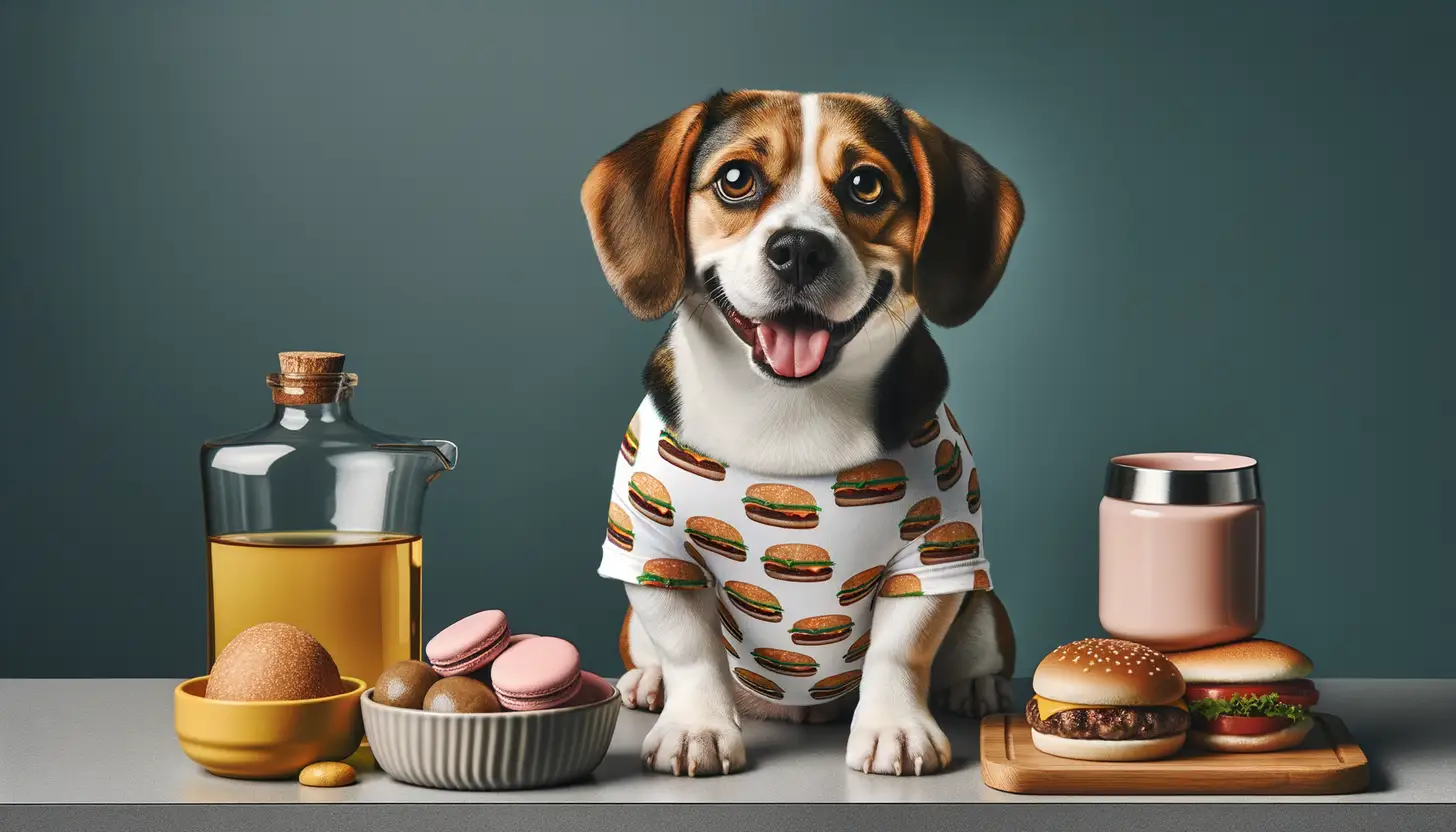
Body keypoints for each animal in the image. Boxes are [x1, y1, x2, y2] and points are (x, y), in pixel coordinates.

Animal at [579, 87, 1025, 781]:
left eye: (866, 184)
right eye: (736, 179)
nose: (798, 249)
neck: (788, 411)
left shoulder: (933, 552)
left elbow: (901, 650)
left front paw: (894, 728)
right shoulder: (652, 549)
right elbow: (689, 649)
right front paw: (697, 726)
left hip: (980, 598)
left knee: (973, 643)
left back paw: (978, 688)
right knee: (653, 650)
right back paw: (647, 683)